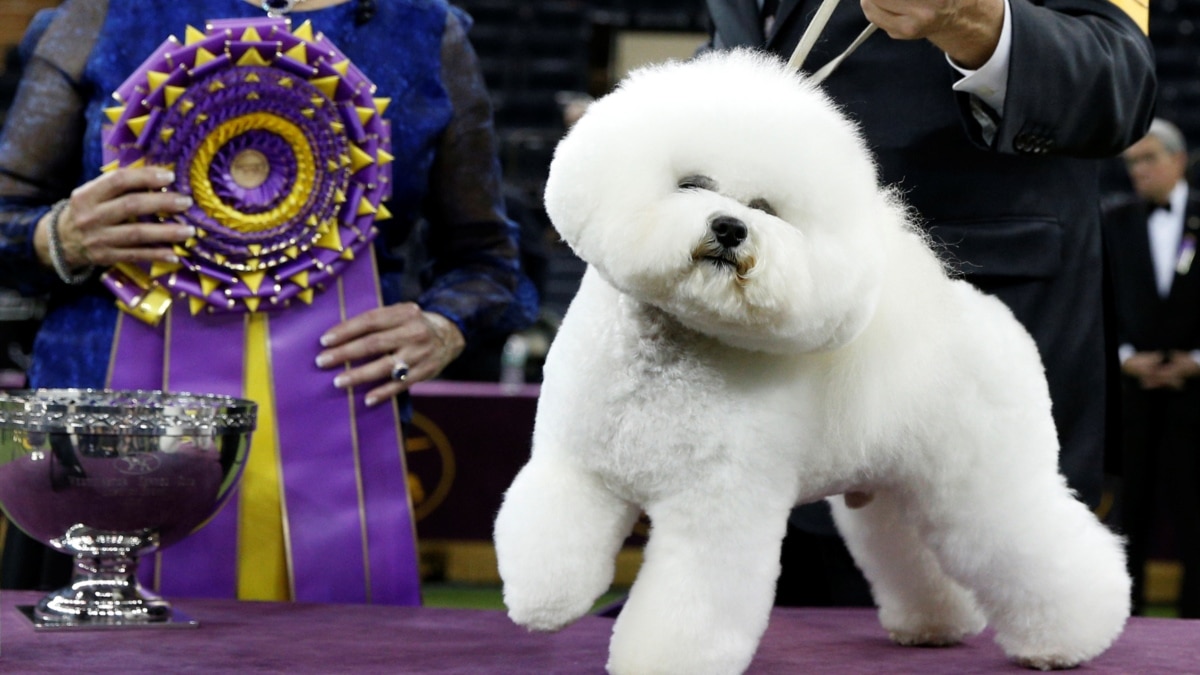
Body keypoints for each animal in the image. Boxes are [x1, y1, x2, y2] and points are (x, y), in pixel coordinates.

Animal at [492, 49, 1128, 667]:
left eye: (766, 207)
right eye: (692, 183)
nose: (731, 228)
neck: (668, 354)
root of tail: (996, 324)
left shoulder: (716, 506)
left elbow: (692, 605)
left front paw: (663, 659)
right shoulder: (576, 460)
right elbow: (549, 535)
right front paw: (545, 602)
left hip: (983, 482)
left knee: (1041, 547)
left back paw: (1067, 641)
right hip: (897, 490)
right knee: (919, 555)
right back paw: (937, 626)